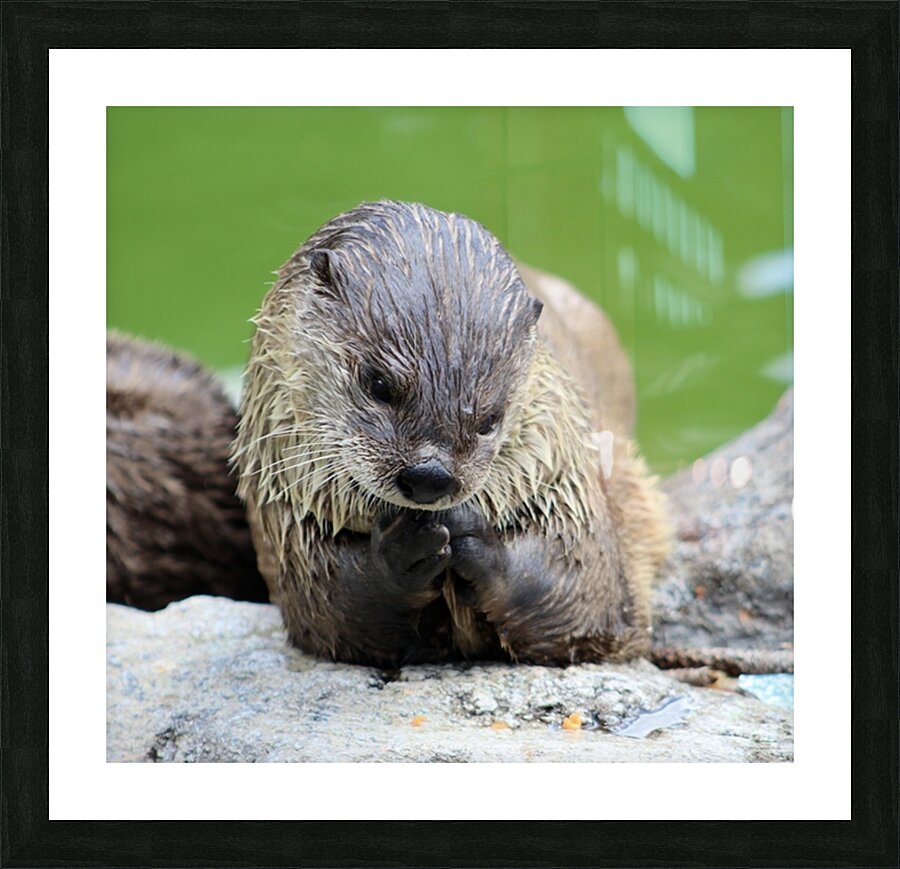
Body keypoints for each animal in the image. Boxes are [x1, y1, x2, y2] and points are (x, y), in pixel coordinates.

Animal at [234, 201, 669, 667]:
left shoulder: (565, 487)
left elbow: (583, 597)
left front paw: (472, 538)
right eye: (379, 384)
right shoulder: (290, 521)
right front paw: (402, 552)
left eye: (491, 419)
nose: (430, 476)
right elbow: (334, 606)